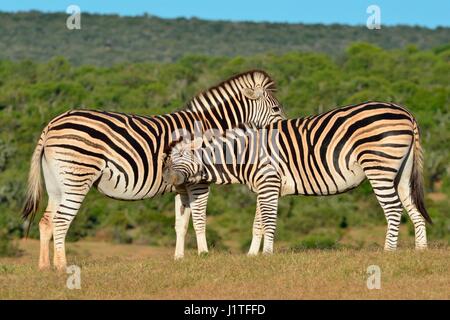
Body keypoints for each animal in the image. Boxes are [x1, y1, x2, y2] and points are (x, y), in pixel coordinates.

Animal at [22, 70, 284, 270]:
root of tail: (52, 123)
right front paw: (204, 254)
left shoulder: (182, 185)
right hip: (77, 177)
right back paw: (62, 266)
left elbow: (181, 223)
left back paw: (44, 267)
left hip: (57, 184)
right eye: (277, 110)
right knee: (60, 220)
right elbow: (199, 219)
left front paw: (179, 258)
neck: (209, 130)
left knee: (46, 220)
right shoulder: (198, 181)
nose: (281, 133)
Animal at [163, 101, 432, 254]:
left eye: (181, 156)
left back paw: (388, 252)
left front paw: (267, 254)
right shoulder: (264, 187)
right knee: (411, 205)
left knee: (394, 209)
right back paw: (421, 250)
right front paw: (252, 256)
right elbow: (257, 224)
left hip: (379, 166)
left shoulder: (268, 181)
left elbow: (268, 221)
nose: (168, 179)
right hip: (401, 171)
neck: (243, 153)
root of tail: (405, 112)